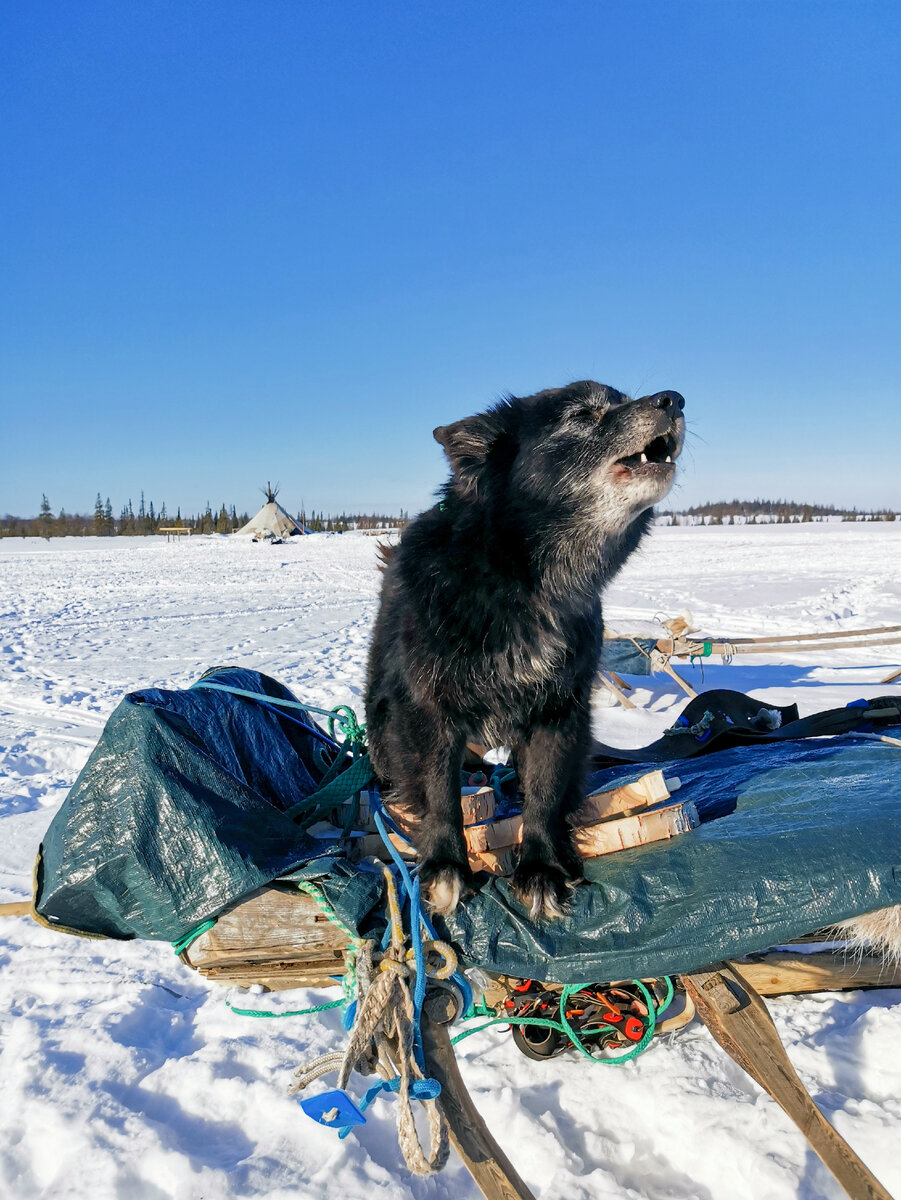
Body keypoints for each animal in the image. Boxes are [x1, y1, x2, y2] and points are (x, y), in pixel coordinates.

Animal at [364, 381, 681, 916]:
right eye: (581, 414)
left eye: (622, 399)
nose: (673, 400)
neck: (520, 582)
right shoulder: (431, 714)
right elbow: (440, 794)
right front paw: (445, 866)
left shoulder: (558, 712)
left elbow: (545, 794)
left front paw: (540, 869)